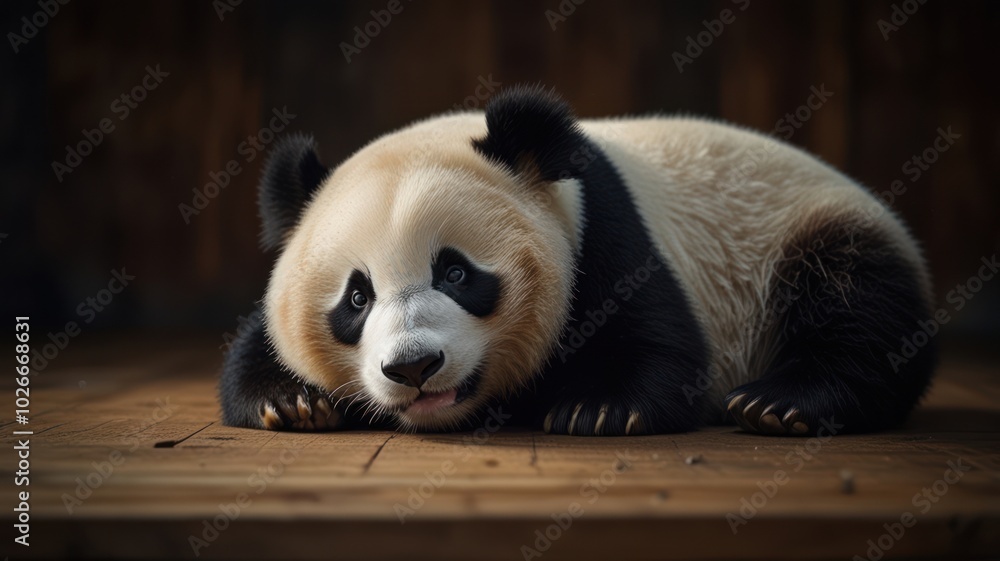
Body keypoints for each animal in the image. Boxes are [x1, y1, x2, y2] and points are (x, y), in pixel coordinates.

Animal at [219, 85, 936, 437]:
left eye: (456, 272)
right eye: (357, 297)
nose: (414, 367)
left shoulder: (605, 237)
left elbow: (662, 344)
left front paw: (599, 409)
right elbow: (260, 343)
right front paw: (291, 402)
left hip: (806, 233)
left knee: (858, 307)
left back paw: (778, 404)